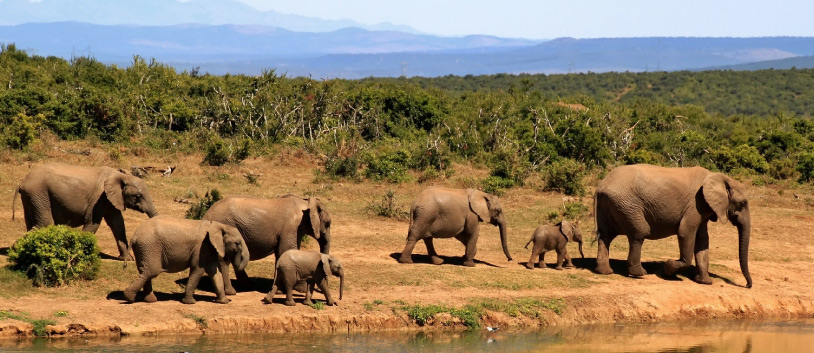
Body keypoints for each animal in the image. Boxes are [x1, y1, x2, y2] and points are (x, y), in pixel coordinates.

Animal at [12, 162, 159, 258]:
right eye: (138, 196)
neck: (120, 176)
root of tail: (22, 182)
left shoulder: (111, 200)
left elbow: (118, 224)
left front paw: (127, 259)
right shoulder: (99, 199)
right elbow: (93, 223)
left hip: (32, 197)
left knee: (33, 223)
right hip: (39, 193)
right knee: (45, 223)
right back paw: (17, 248)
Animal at [203, 192, 332, 294]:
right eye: (328, 223)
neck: (305, 202)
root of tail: (206, 215)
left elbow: (281, 254)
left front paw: (281, 290)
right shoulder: (291, 227)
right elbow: (287, 250)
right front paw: (301, 290)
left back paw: (250, 285)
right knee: (224, 259)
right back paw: (232, 291)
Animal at [596, 164, 756, 288]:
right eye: (742, 203)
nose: (747, 285)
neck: (720, 177)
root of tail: (602, 185)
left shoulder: (703, 208)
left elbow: (702, 240)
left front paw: (705, 282)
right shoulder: (696, 204)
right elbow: (686, 232)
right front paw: (667, 269)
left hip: (612, 205)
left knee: (605, 236)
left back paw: (605, 271)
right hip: (627, 205)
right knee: (639, 233)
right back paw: (640, 273)